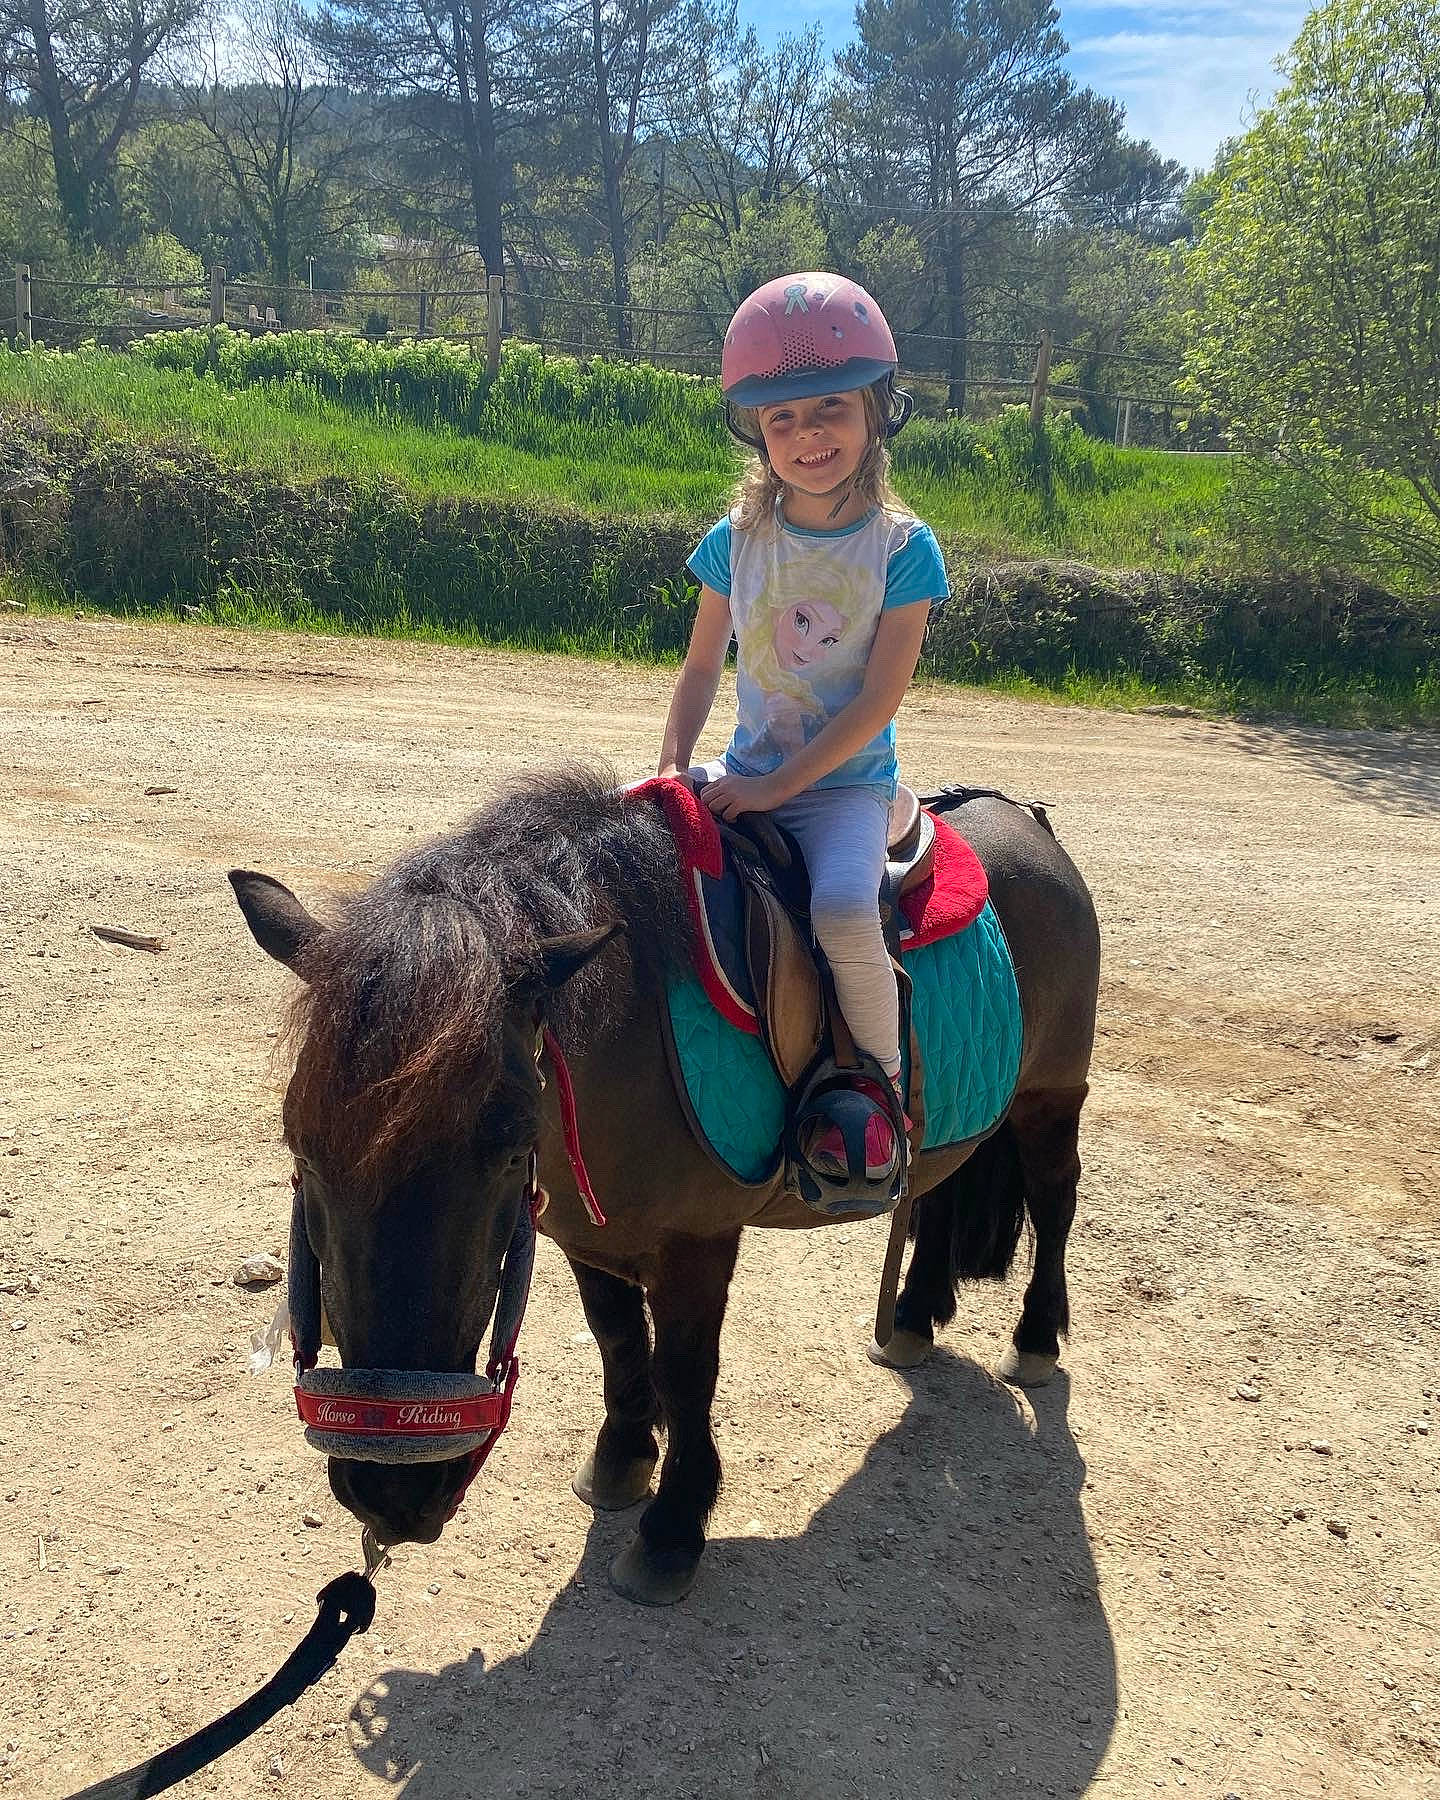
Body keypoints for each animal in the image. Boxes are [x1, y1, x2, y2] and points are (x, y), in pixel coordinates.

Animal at [230, 766, 1100, 1606]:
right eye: (301, 1145)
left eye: (508, 1149)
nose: (392, 1495)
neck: (635, 1023)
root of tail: (1024, 818)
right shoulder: (589, 1232)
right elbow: (617, 1338)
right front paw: (619, 1461)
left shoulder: (696, 1241)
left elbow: (684, 1370)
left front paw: (673, 1528)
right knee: (942, 1190)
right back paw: (914, 1319)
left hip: (1050, 1095)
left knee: (1056, 1203)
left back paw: (1034, 1339)